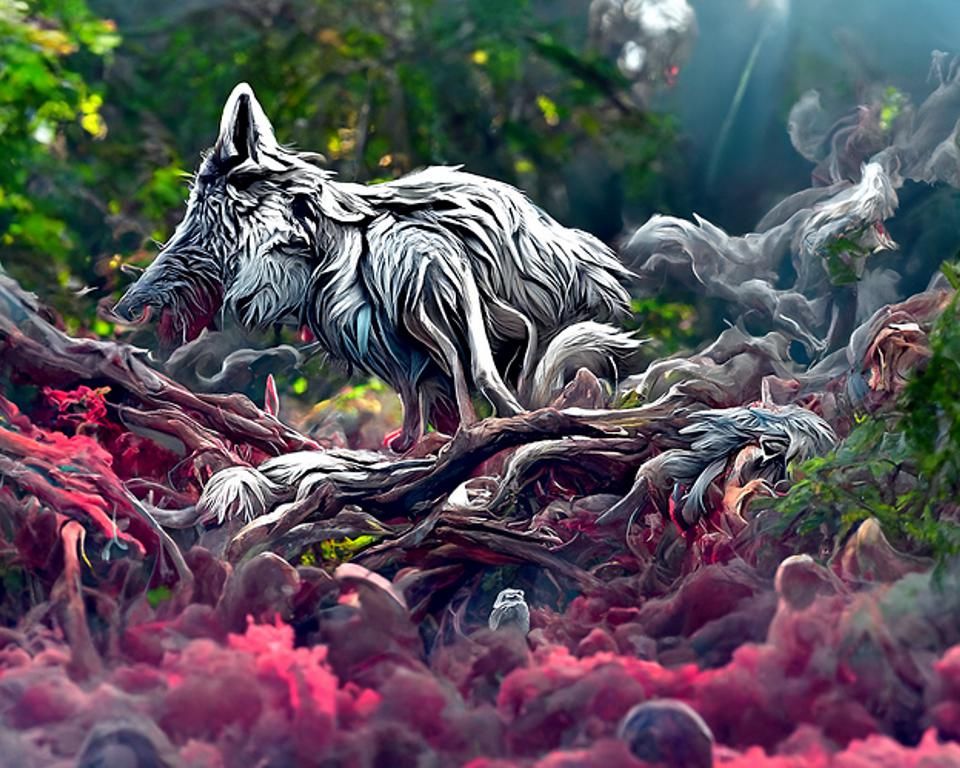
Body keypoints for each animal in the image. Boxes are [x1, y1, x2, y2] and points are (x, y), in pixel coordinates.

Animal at [114, 84, 637, 451]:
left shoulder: (428, 280)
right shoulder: (403, 331)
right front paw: (415, 443)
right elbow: (424, 387)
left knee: (487, 367)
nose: (126, 308)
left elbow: (468, 374)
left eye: (206, 209)